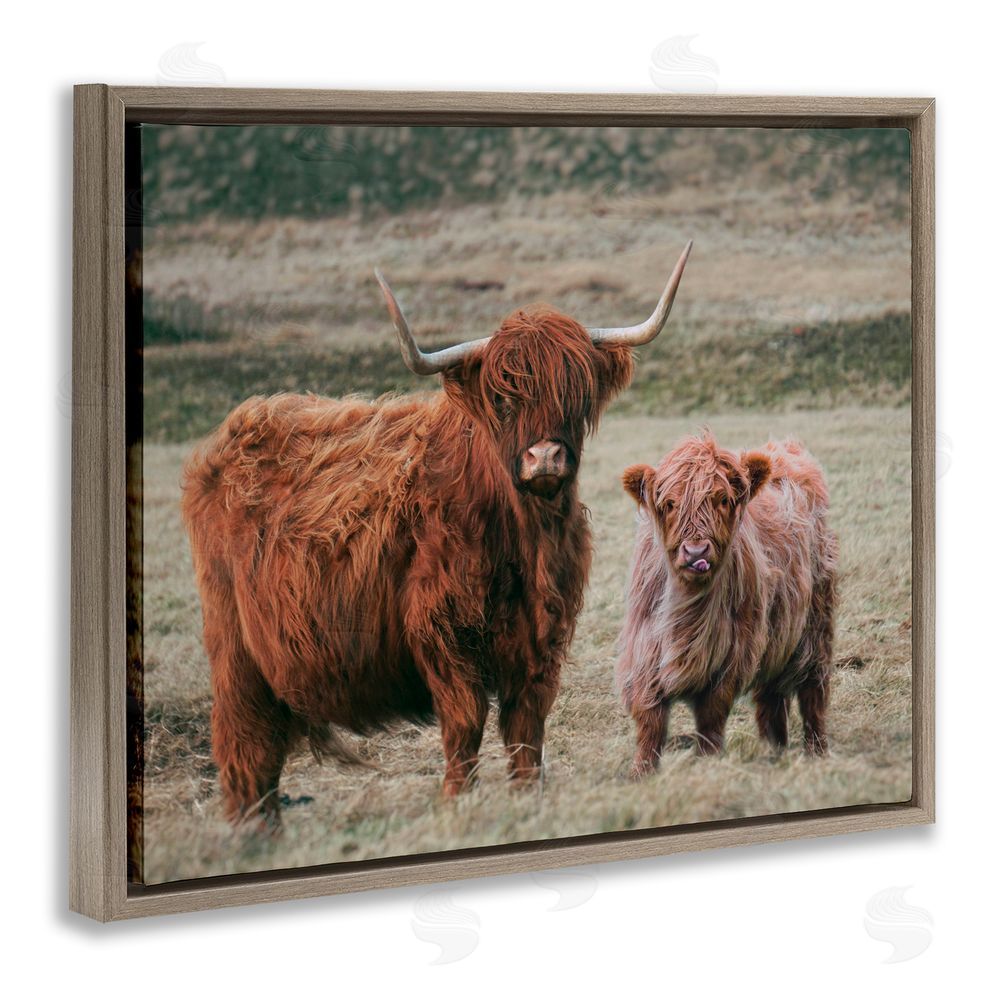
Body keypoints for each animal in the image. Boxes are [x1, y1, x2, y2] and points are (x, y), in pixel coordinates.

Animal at [182, 242, 693, 829]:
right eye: (502, 398)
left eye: (576, 392)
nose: (545, 457)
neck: (523, 540)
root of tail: (237, 427)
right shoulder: (442, 631)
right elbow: (465, 722)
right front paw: (454, 802)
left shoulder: (541, 640)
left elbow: (526, 730)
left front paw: (526, 798)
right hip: (234, 645)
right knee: (244, 742)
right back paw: (252, 831)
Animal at [616, 432, 837, 777]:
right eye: (670, 504)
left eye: (722, 499)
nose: (695, 552)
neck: (689, 610)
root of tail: (784, 447)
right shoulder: (644, 652)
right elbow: (650, 720)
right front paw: (642, 772)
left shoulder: (731, 656)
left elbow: (711, 717)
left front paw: (707, 762)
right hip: (776, 634)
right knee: (771, 696)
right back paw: (774, 751)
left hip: (816, 624)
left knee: (813, 690)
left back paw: (816, 752)